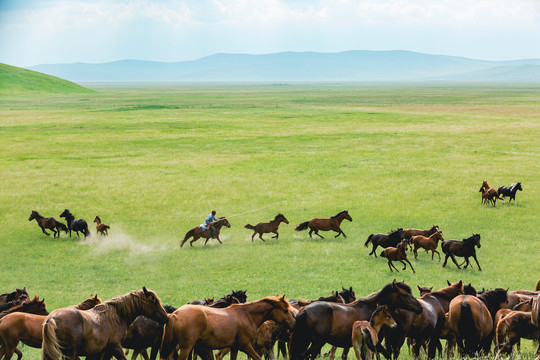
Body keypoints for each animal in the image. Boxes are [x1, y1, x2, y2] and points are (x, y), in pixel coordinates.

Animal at [160, 296, 296, 360]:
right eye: (285, 310)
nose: (294, 323)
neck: (247, 315)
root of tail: (174, 314)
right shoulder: (245, 346)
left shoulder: (234, 347)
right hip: (186, 348)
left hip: (173, 346)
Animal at [288, 282, 424, 360]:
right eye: (405, 295)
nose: (420, 307)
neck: (372, 309)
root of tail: (303, 311)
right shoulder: (375, 344)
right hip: (317, 343)